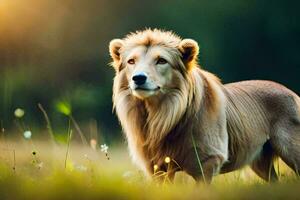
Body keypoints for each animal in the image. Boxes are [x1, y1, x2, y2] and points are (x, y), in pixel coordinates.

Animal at [109, 28, 300, 184]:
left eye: (161, 61)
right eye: (131, 61)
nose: (138, 78)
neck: (161, 114)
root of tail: (292, 93)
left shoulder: (208, 160)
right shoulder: (157, 168)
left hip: (292, 151)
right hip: (260, 162)